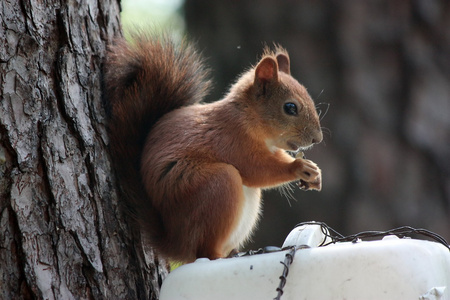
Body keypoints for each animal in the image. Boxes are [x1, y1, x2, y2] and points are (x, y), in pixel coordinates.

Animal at [104, 32, 324, 262]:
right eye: (290, 107)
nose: (317, 138)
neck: (247, 116)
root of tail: (176, 244)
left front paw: (315, 173)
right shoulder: (234, 141)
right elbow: (258, 169)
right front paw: (298, 167)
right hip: (216, 185)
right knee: (206, 252)